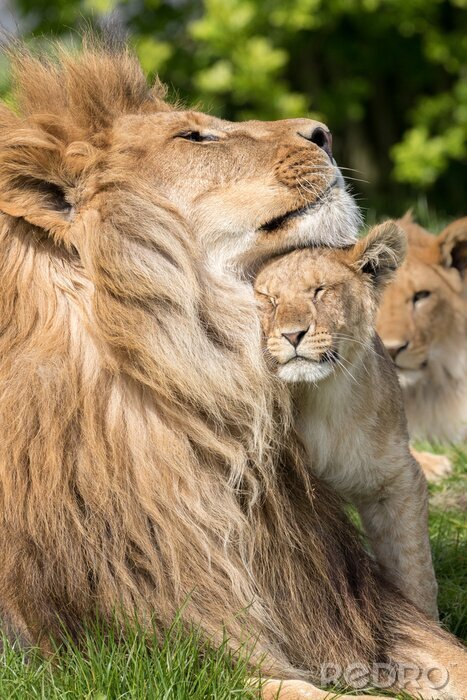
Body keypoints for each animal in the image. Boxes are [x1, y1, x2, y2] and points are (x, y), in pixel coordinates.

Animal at [254, 221, 439, 620]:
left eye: (320, 290)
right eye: (269, 298)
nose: (292, 335)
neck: (322, 398)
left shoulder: (397, 479)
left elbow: (414, 569)